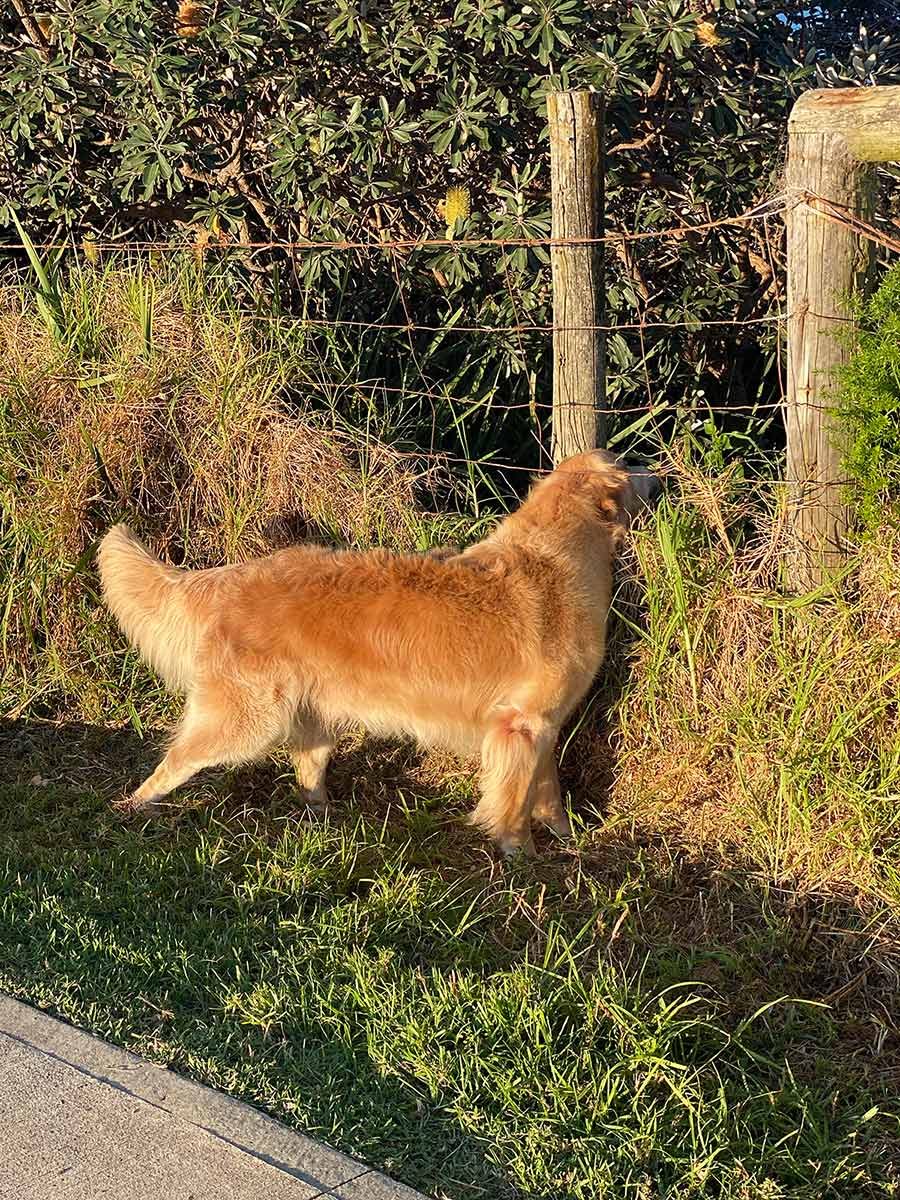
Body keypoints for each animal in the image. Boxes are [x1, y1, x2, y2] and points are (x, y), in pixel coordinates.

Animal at [98, 451, 652, 854]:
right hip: (244, 720)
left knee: (307, 772)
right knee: (175, 760)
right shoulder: (522, 726)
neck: (557, 558)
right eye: (628, 463)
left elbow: (547, 792)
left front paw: (565, 838)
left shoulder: (542, 728)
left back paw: (325, 819)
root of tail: (236, 576)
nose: (660, 474)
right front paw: (521, 856)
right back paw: (132, 805)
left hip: (315, 717)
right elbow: (515, 803)